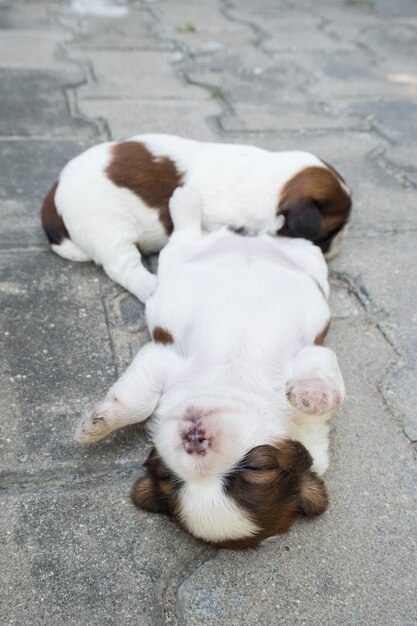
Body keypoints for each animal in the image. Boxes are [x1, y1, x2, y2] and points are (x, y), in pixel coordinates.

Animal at [42, 133, 350, 302]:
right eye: (331, 232)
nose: (338, 245)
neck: (270, 181)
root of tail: (53, 195)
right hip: (108, 225)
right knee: (123, 266)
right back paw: (149, 286)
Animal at [75, 185, 344, 544]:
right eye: (169, 477)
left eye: (257, 467)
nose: (194, 441)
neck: (232, 383)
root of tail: (247, 239)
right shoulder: (163, 357)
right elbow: (137, 403)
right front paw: (96, 424)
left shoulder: (314, 354)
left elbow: (320, 383)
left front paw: (312, 396)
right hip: (185, 256)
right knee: (193, 234)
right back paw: (191, 201)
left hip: (309, 262)